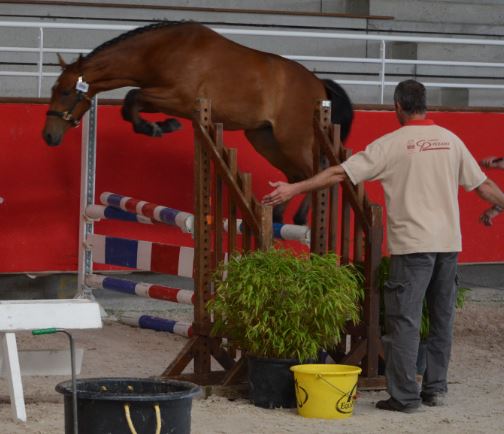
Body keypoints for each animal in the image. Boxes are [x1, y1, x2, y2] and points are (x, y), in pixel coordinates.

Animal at [41, 20, 352, 224]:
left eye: (66, 92)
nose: (48, 136)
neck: (161, 51)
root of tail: (319, 85)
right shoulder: (162, 97)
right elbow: (132, 105)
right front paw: (160, 127)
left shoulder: (179, 98)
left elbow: (132, 97)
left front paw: (158, 128)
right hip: (264, 139)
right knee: (298, 176)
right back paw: (276, 214)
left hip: (292, 139)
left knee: (318, 171)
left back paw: (299, 218)